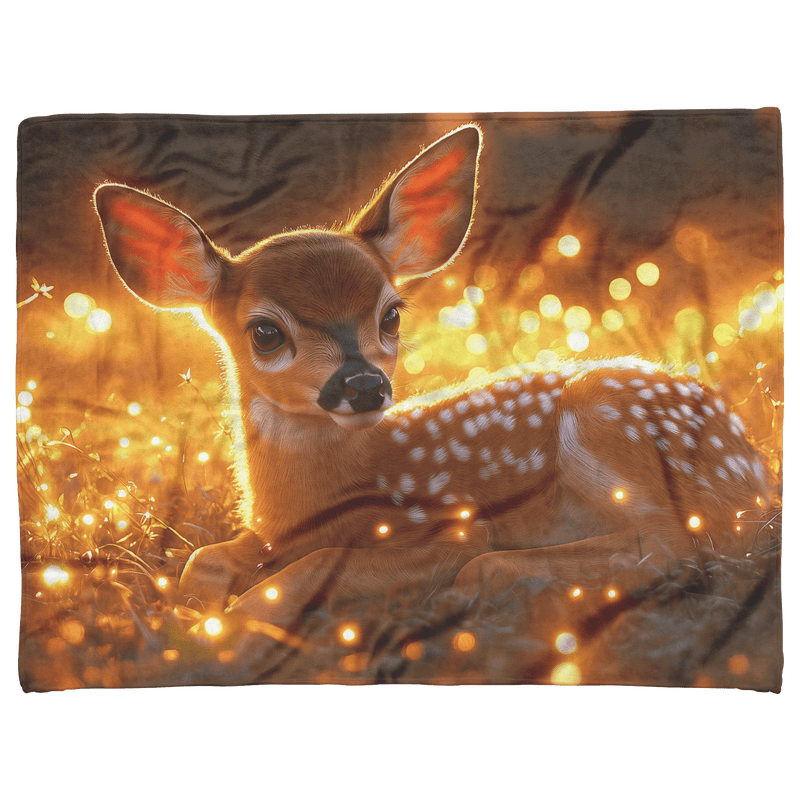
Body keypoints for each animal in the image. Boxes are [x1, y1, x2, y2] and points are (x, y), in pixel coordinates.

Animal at [94, 124, 772, 625]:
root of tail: (756, 467)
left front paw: (228, 629)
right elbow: (204, 560)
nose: (365, 386)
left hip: (604, 414)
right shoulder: (267, 534)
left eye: (391, 313)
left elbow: (318, 567)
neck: (307, 502)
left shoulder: (445, 523)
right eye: (265, 331)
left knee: (673, 542)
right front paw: (190, 612)